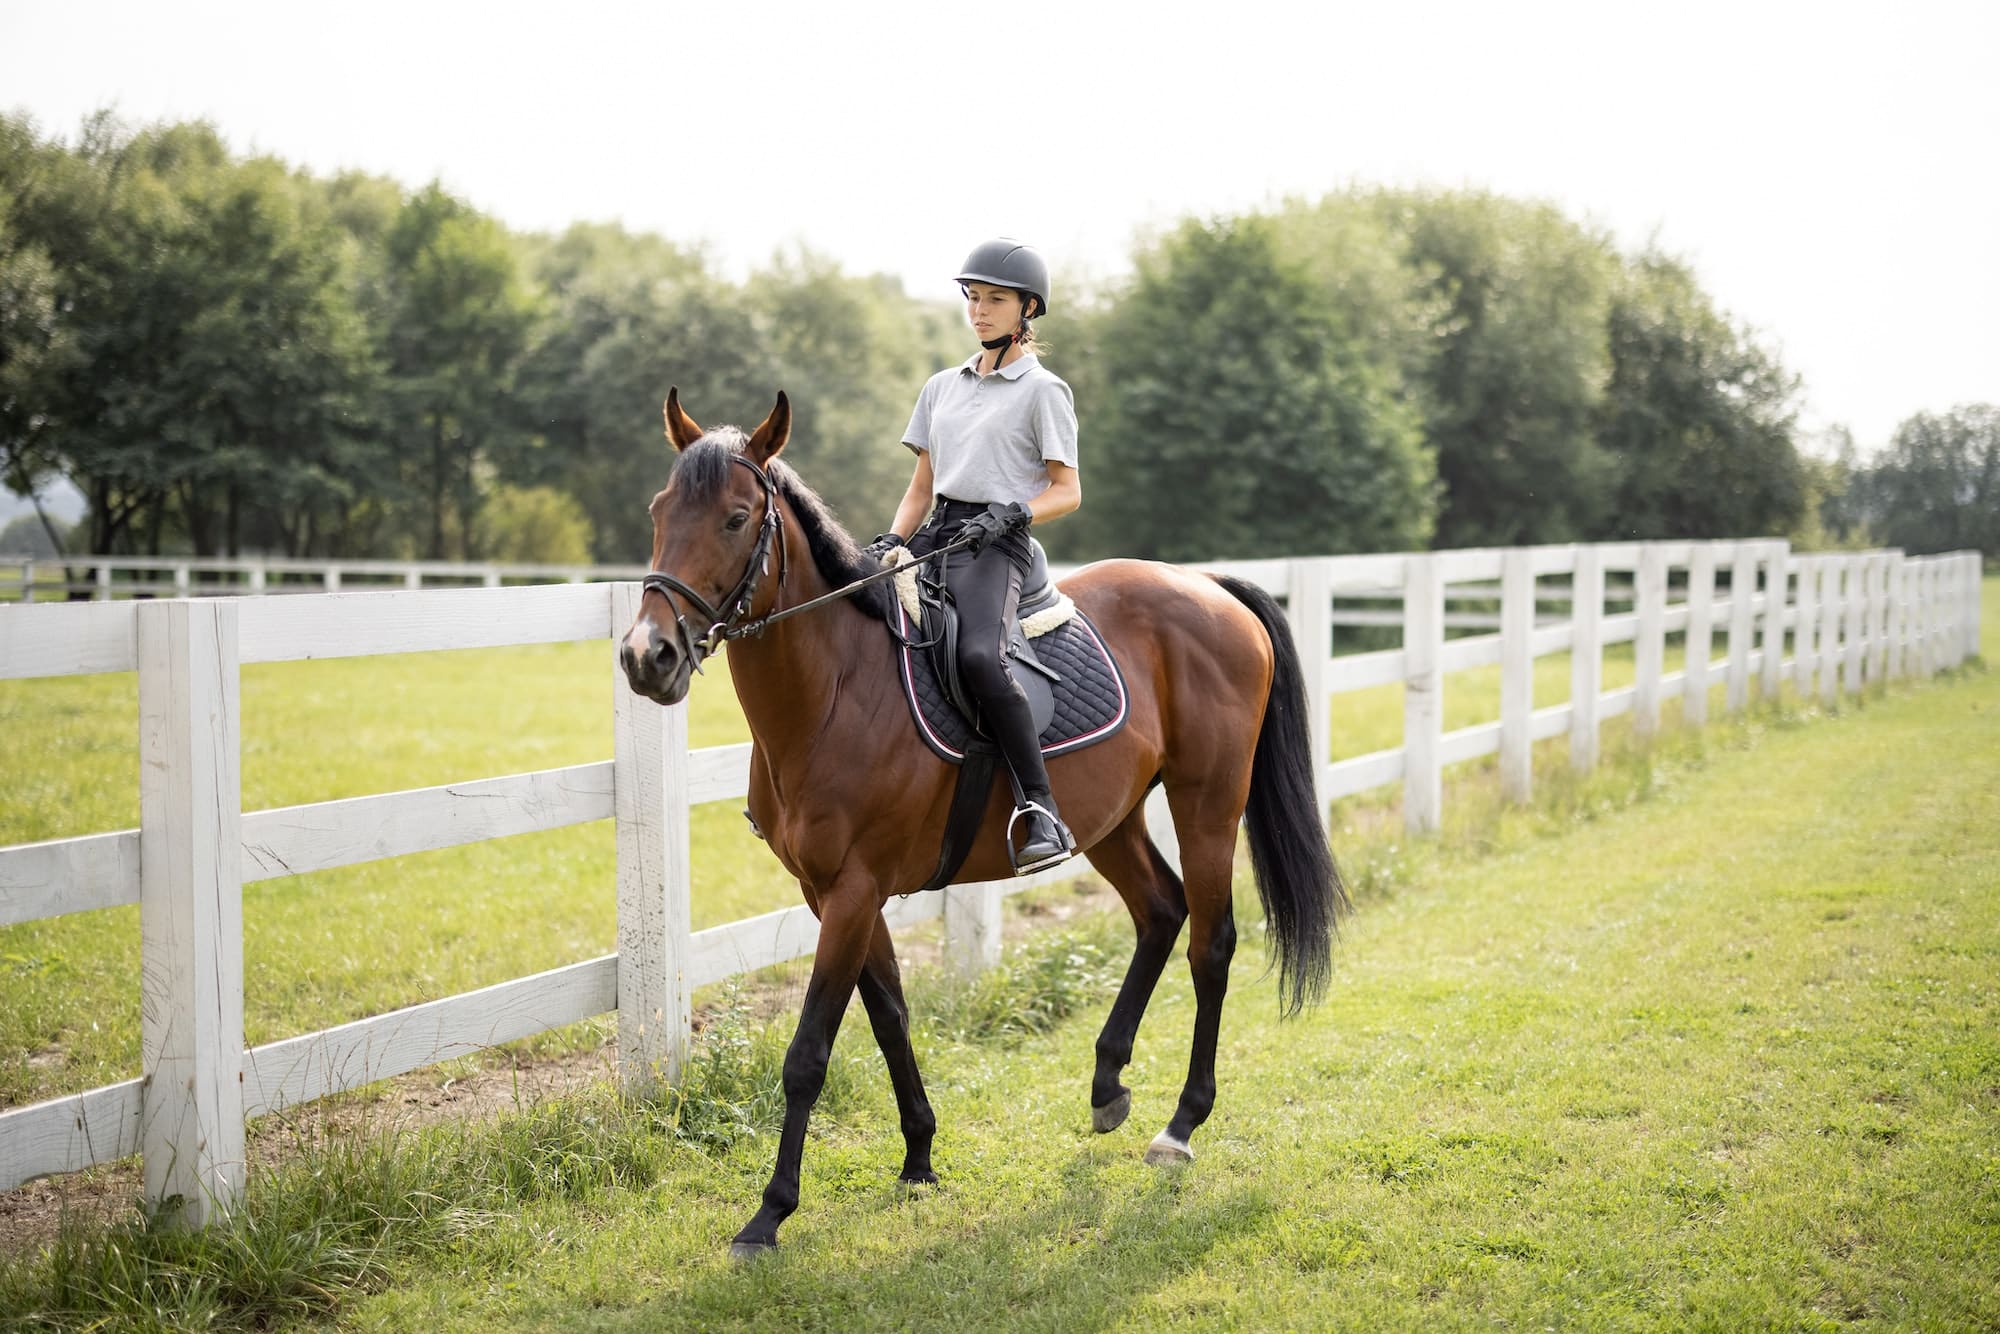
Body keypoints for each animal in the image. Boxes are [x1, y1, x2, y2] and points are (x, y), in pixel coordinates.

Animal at [619, 390, 1347, 1259]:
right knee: (1160, 912)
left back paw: (1180, 1126)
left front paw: (769, 1214)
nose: (647, 657)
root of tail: (1210, 589)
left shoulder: (856, 890)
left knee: (1212, 942)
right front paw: (919, 1157)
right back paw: (1107, 1085)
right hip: (1108, 820)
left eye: (734, 519)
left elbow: (809, 1052)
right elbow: (890, 1017)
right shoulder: (831, 893)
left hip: (1207, 800)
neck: (837, 687)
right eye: (659, 511)